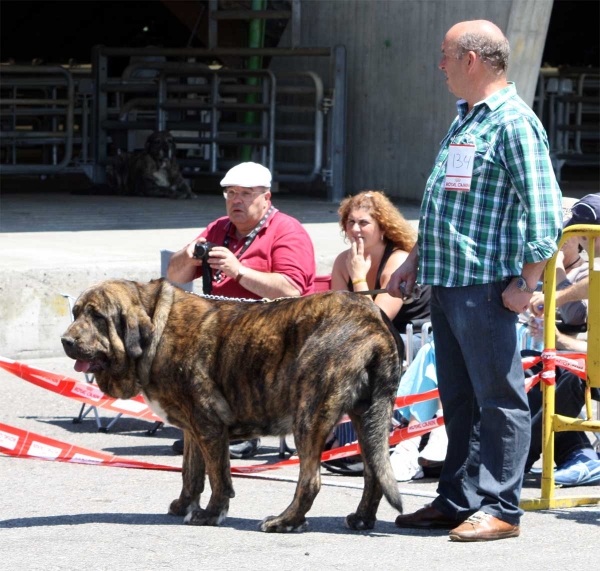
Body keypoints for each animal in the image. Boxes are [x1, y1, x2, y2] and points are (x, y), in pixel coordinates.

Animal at [61, 280, 406, 536]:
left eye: (97, 316)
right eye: (75, 313)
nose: (65, 340)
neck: (157, 327)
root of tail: (372, 318)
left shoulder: (209, 427)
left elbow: (218, 477)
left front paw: (211, 514)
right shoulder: (193, 430)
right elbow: (191, 474)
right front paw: (184, 505)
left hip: (308, 417)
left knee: (310, 481)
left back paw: (285, 521)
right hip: (367, 417)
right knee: (374, 473)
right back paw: (361, 519)